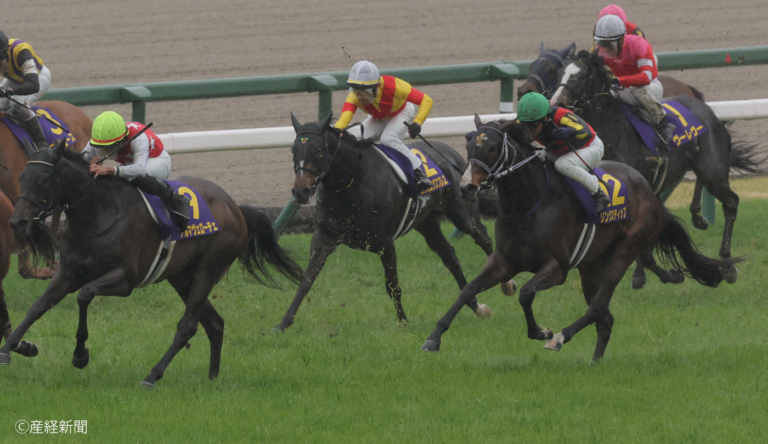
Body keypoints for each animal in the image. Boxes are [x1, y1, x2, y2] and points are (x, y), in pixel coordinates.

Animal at [0, 140, 304, 387]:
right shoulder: (68, 272)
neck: (99, 212)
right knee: (214, 323)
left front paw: (80, 355)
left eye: (45, 180)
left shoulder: (126, 279)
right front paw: (10, 348)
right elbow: (38, 307)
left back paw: (152, 376)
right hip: (182, 276)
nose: (17, 222)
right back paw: (212, 378)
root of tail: (235, 208)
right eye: (22, 177)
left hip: (209, 269)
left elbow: (85, 295)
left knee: (188, 326)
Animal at [273, 113, 517, 332]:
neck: (352, 182)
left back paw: (506, 286)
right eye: (293, 150)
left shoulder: (385, 243)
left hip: (462, 214)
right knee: (450, 257)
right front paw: (283, 322)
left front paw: (403, 322)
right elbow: (306, 279)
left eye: (318, 149)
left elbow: (392, 285)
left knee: (483, 237)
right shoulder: (324, 237)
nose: (301, 191)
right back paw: (477, 307)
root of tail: (452, 155)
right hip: (427, 224)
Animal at [422, 118, 741, 360]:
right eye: (467, 145)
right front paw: (434, 337)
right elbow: (467, 291)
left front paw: (541, 331)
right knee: (605, 318)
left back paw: (560, 338)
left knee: (597, 307)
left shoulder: (558, 267)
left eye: (490, 147)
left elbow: (526, 292)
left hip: (625, 251)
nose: (466, 187)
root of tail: (649, 192)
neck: (528, 204)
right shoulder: (505, 261)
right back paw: (595, 361)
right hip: (591, 265)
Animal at [548, 49, 761, 288]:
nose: (556, 102)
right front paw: (654, 274)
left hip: (712, 169)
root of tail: (705, 108)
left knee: (731, 201)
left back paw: (727, 260)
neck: (612, 131)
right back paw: (699, 219)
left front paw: (662, 273)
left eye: (582, 76)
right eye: (558, 74)